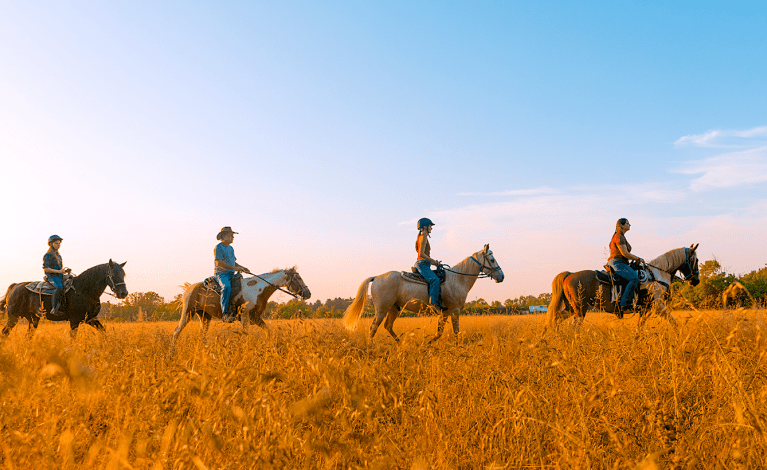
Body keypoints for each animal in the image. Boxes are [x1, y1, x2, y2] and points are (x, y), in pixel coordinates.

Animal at [171, 268, 311, 344]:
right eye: (298, 278)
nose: (308, 293)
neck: (258, 289)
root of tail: (189, 287)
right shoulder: (245, 316)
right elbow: (245, 335)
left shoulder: (255, 317)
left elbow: (268, 331)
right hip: (188, 312)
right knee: (177, 331)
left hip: (204, 316)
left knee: (202, 334)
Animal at [343, 245, 504, 342]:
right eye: (492, 259)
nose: (501, 276)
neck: (458, 279)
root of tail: (376, 277)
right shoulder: (454, 311)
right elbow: (456, 332)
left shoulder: (444, 313)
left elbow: (439, 333)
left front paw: (428, 344)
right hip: (382, 309)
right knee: (374, 327)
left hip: (394, 308)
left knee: (388, 326)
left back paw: (401, 344)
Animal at [546, 244, 700, 332]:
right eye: (696, 260)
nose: (696, 281)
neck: (657, 274)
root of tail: (569, 274)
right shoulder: (658, 306)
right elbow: (674, 322)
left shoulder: (645, 310)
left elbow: (639, 328)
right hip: (580, 309)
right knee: (574, 326)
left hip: (571, 308)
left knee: (556, 319)